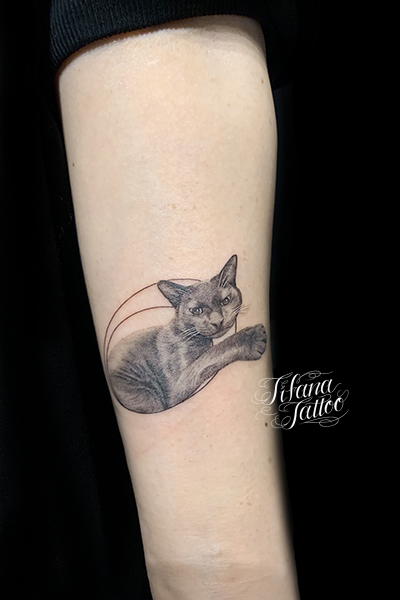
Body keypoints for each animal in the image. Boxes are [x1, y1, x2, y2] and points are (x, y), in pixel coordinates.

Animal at [107, 255, 266, 414]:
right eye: (196, 310)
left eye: (225, 301)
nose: (217, 321)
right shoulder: (178, 386)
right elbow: (212, 354)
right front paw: (252, 338)